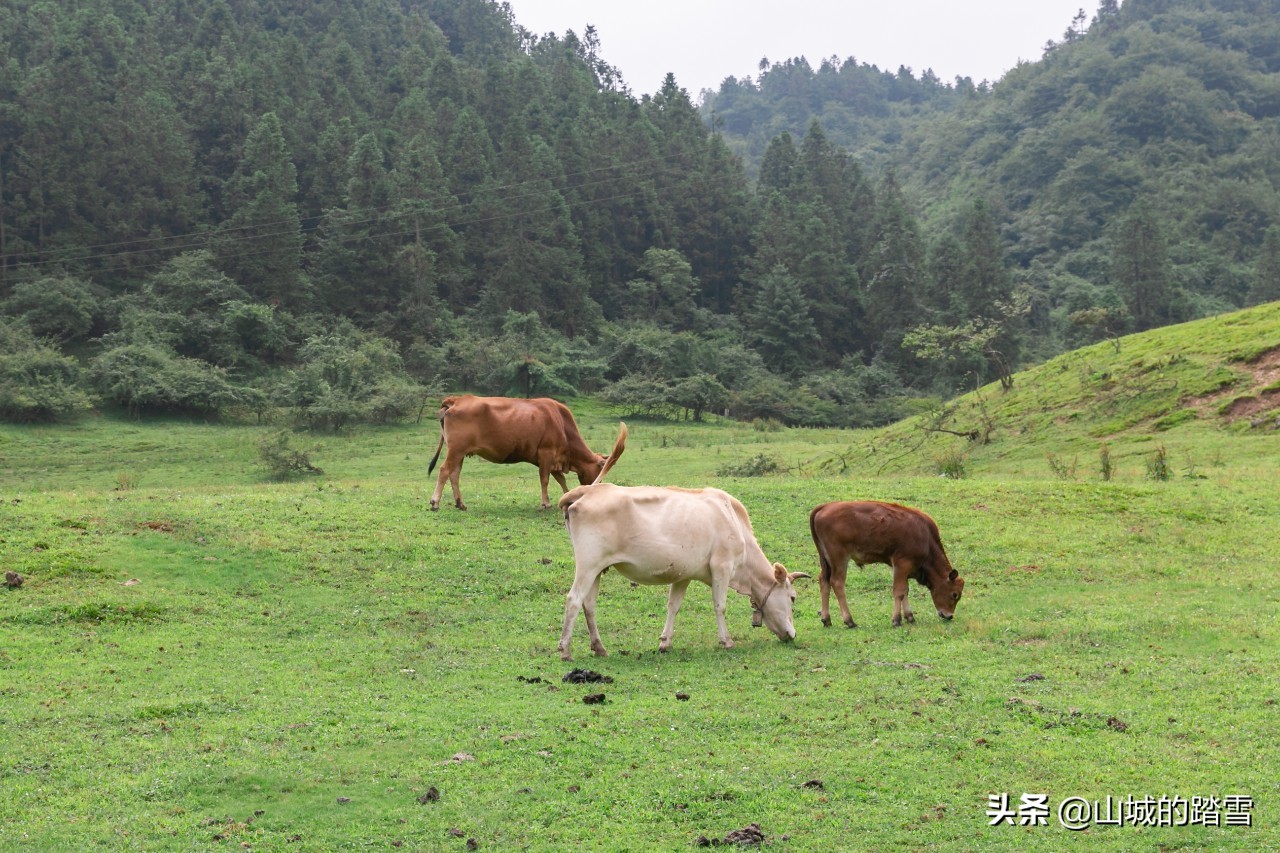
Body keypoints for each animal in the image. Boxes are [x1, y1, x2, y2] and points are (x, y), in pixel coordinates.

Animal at [424, 394, 619, 507]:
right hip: (456, 450)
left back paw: (460, 503)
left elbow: (560, 480)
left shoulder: (552, 458)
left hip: (460, 452)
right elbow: (545, 479)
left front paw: (568, 496)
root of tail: (456, 399)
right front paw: (546, 503)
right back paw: (435, 501)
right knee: (444, 470)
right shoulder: (547, 453)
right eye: (600, 470)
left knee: (454, 474)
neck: (561, 423)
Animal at [555, 479, 803, 655]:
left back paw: (599, 647)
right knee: (573, 600)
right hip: (588, 565)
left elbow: (673, 606)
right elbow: (720, 606)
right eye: (792, 598)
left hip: (597, 570)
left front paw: (665, 642)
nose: (792, 634)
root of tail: (587, 491)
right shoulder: (722, 567)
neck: (732, 519)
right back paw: (565, 650)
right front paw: (726, 641)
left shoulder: (684, 575)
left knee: (589, 605)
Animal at [808, 499, 962, 625]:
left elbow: (905, 590)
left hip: (826, 561)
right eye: (954, 594)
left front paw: (909, 617)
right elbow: (899, 591)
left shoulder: (902, 569)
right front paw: (896, 620)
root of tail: (824, 507)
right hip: (839, 558)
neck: (925, 538)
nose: (949, 616)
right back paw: (849, 621)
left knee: (824, 580)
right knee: (837, 583)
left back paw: (826, 619)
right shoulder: (901, 564)